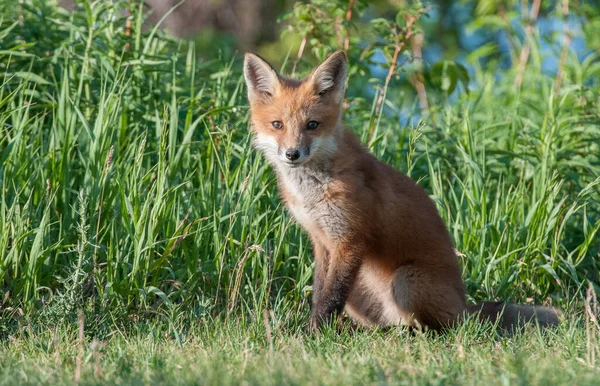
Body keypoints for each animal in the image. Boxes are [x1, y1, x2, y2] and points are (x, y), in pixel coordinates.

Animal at [241, 49, 560, 332]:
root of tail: (465, 306)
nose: (292, 154)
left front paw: (314, 334)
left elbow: (330, 298)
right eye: (277, 124)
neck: (311, 190)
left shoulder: (350, 240)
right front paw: (314, 329)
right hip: (362, 290)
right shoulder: (322, 242)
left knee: (443, 328)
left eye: (312, 125)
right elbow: (321, 293)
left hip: (405, 281)